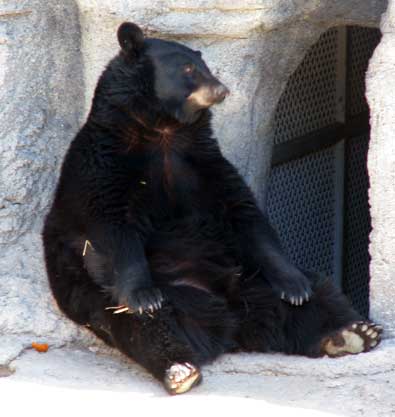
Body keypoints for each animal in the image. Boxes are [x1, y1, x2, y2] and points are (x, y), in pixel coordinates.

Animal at [42, 22, 384, 394]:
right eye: (188, 69)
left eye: (204, 66)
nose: (221, 89)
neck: (163, 132)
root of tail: (231, 319)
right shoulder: (105, 164)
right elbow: (113, 226)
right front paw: (143, 295)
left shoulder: (201, 162)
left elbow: (243, 212)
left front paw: (294, 287)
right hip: (119, 294)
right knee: (141, 326)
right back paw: (178, 367)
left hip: (251, 279)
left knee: (318, 297)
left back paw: (351, 332)